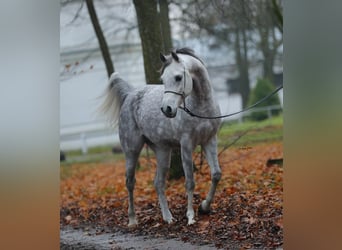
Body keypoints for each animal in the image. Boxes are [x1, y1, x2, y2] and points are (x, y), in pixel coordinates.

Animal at [100, 47, 222, 226]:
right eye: (163, 79)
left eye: (178, 77)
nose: (166, 109)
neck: (201, 107)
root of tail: (130, 95)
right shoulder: (186, 145)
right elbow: (190, 182)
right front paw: (191, 216)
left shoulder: (209, 141)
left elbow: (216, 175)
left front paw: (204, 207)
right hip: (132, 151)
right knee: (130, 183)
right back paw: (132, 220)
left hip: (162, 151)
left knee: (158, 183)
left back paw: (168, 217)